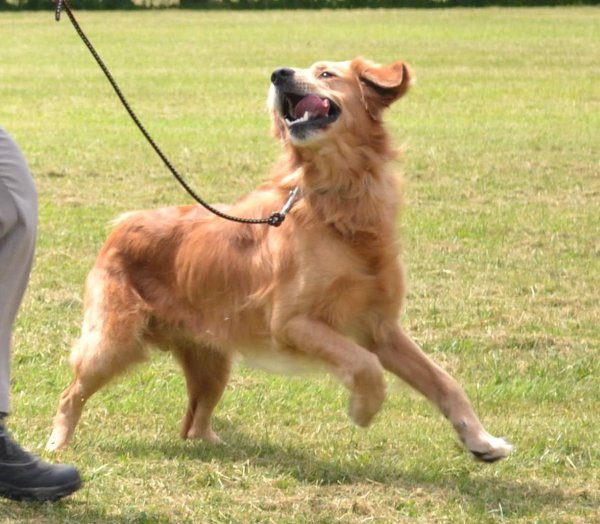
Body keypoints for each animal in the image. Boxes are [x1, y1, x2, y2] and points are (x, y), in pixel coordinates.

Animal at [47, 55, 510, 460]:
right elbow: (364, 366)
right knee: (72, 392)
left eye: (326, 73)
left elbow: (444, 381)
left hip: (213, 360)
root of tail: (122, 224)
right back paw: (57, 444)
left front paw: (482, 442)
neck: (338, 205)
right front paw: (364, 408)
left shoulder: (380, 326)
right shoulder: (291, 323)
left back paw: (218, 445)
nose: (278, 73)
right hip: (113, 343)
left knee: (194, 421)